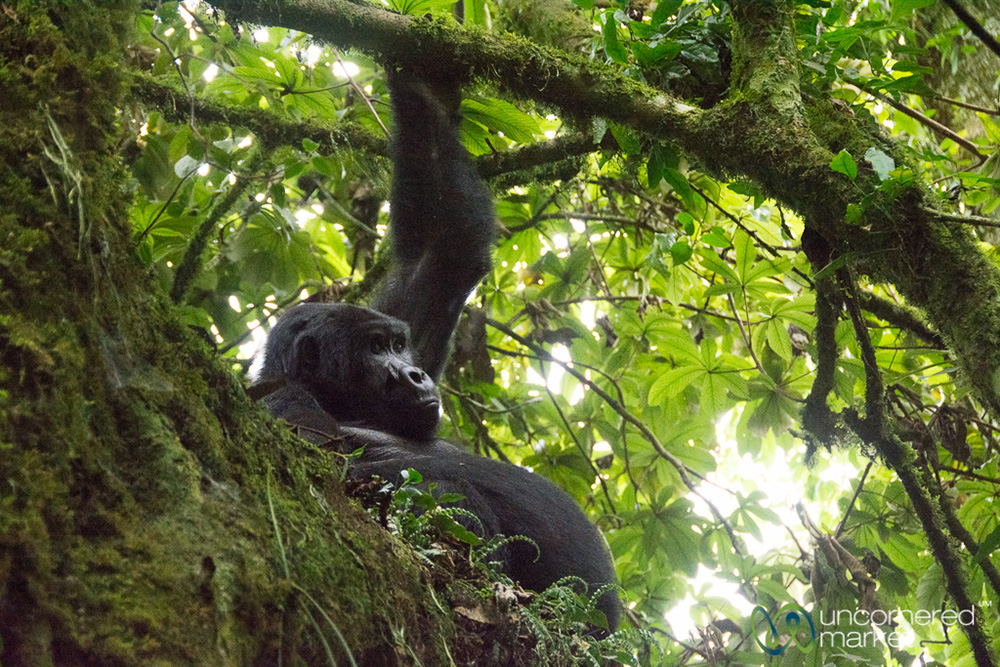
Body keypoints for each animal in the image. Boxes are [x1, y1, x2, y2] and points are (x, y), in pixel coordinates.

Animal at [256, 72, 616, 632]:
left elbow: (446, 248)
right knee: (449, 493)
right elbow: (331, 473)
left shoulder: (408, 315)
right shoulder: (278, 403)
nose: (412, 375)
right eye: (375, 351)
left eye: (397, 344)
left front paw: (414, 69)